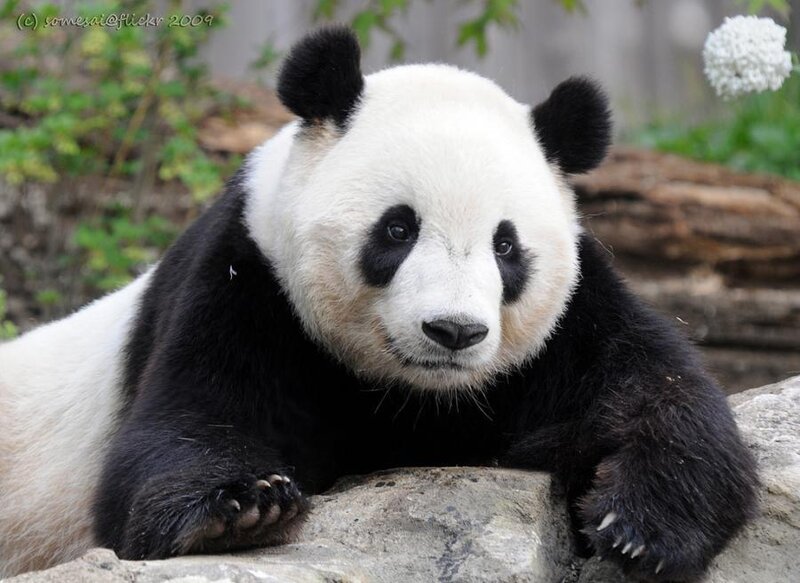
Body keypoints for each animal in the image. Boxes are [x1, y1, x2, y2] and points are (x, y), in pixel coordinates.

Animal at [0, 26, 757, 580]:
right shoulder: (247, 280)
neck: (418, 398)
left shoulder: (567, 325)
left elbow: (659, 391)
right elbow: (182, 427)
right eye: (398, 229)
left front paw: (638, 528)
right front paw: (243, 505)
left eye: (506, 245)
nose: (454, 331)